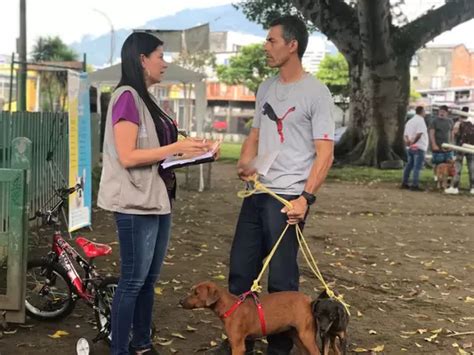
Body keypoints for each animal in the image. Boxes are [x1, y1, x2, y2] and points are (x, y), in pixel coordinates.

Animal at [180, 282, 320, 354]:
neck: (231, 306)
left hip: (306, 336)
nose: (180, 301)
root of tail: (308, 300)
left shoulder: (238, 346)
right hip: (295, 335)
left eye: (196, 293)